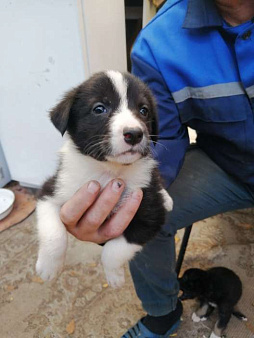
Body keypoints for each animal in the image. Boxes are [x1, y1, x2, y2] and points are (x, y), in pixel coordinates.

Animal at [35, 70, 173, 288]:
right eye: (99, 108)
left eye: (143, 110)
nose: (134, 134)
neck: (109, 171)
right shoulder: (52, 190)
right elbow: (54, 234)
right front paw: (48, 269)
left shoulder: (150, 216)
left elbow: (113, 250)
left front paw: (114, 276)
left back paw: (167, 199)